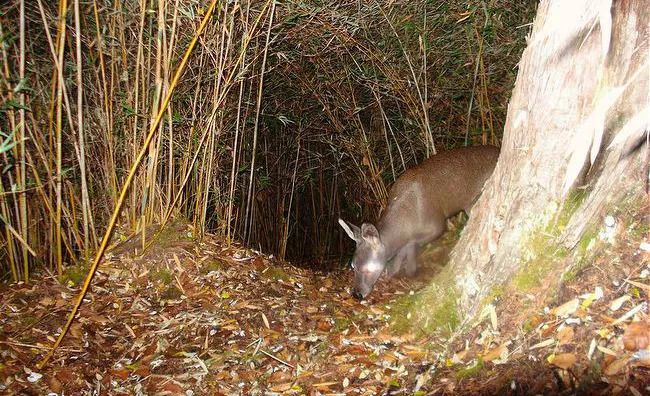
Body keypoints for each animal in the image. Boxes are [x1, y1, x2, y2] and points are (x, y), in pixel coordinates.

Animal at [340, 144, 496, 298]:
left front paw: (408, 270)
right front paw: (394, 270)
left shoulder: (437, 225)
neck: (407, 222)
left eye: (367, 268)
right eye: (353, 266)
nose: (357, 294)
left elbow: (410, 245)